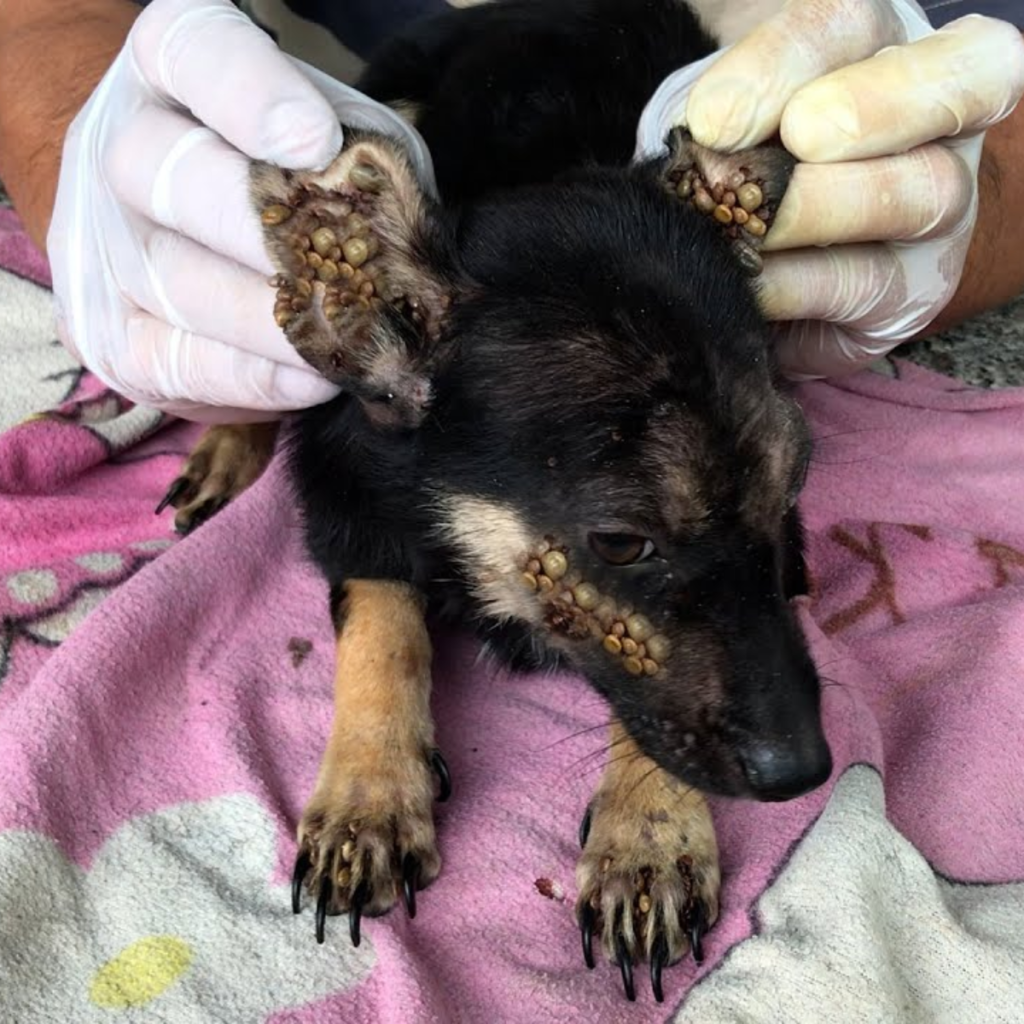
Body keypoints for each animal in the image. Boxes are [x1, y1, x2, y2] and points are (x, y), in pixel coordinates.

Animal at [161, 0, 831, 1007]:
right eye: (620, 542)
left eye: (791, 489)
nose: (806, 774)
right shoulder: (344, 487)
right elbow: (382, 627)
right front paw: (368, 794)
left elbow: (650, 707)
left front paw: (649, 836)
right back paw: (222, 441)